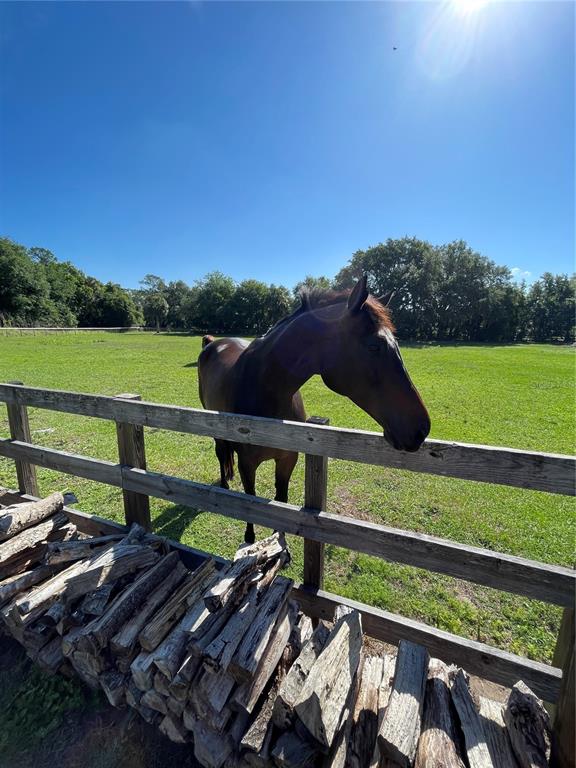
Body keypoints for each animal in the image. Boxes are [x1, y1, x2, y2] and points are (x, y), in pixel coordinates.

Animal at [197, 276, 430, 543]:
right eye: (374, 346)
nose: (422, 428)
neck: (266, 390)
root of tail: (213, 343)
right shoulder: (248, 465)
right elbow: (251, 505)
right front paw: (251, 540)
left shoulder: (288, 459)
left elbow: (280, 503)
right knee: (220, 451)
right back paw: (225, 485)